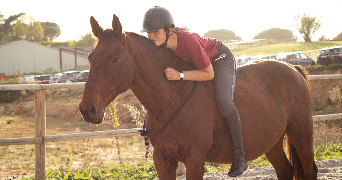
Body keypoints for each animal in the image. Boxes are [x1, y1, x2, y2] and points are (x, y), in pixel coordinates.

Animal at [78, 14, 318, 179]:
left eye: (115, 58)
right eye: (90, 57)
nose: (87, 109)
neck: (171, 98)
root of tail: (293, 68)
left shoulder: (195, 159)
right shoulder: (163, 159)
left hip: (301, 133)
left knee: (309, 170)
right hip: (273, 142)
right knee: (286, 171)